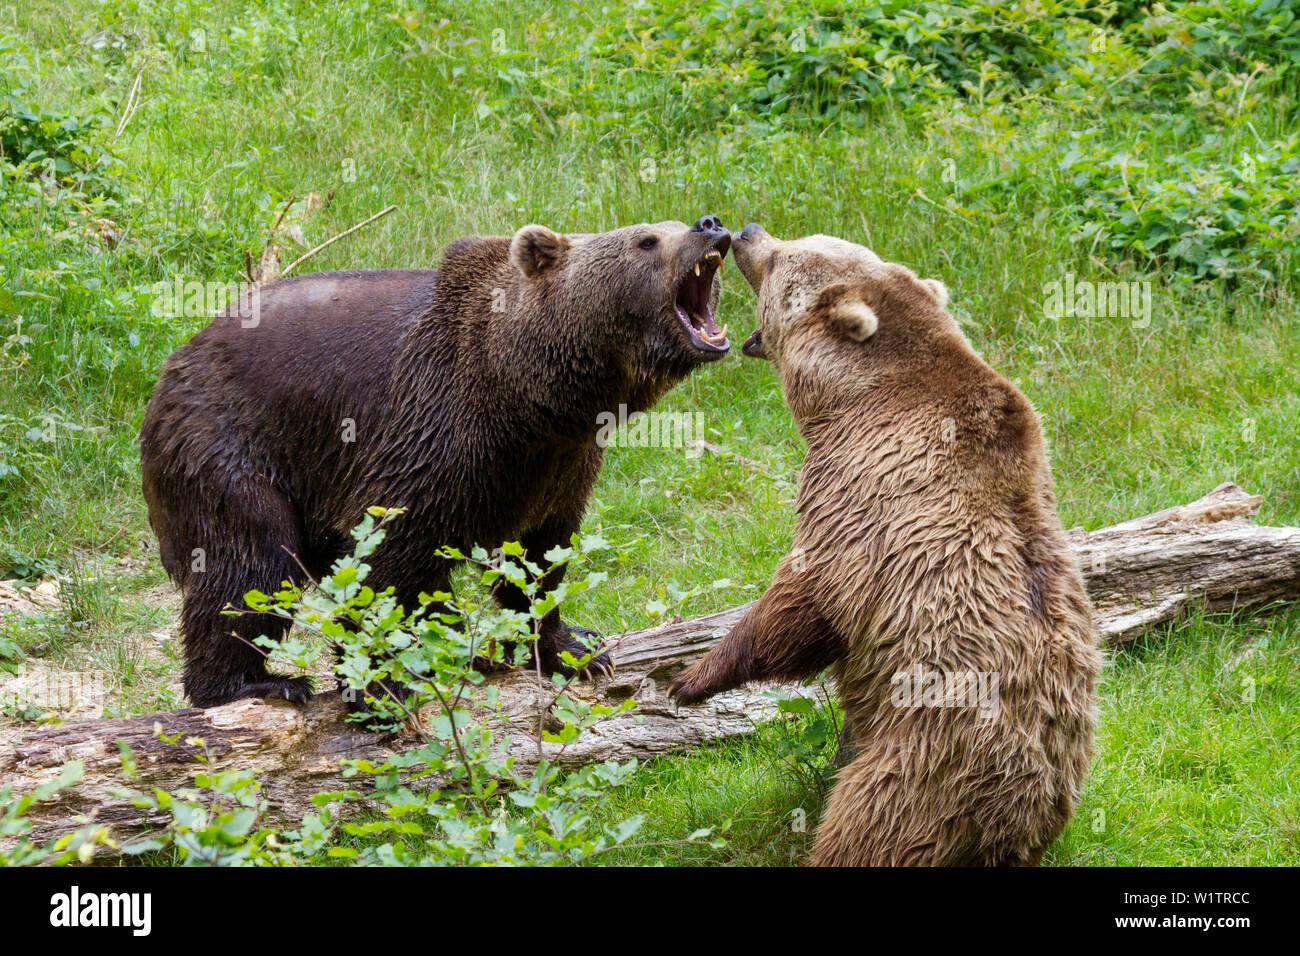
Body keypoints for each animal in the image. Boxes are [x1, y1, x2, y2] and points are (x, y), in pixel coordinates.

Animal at [141, 215, 733, 710]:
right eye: (648, 239)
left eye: (676, 222)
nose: (710, 224)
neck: (530, 397)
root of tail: (171, 366)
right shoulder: (430, 433)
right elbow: (387, 557)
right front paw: (381, 683)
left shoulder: (560, 469)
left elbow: (542, 559)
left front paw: (574, 648)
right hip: (231, 448)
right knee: (251, 564)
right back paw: (254, 684)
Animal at [670, 224, 1101, 866]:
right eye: (792, 240)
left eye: (777, 260)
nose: (746, 231)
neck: (847, 400)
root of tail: (1026, 810)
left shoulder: (859, 503)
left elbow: (798, 603)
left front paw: (690, 678)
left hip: (927, 759)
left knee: (869, 826)